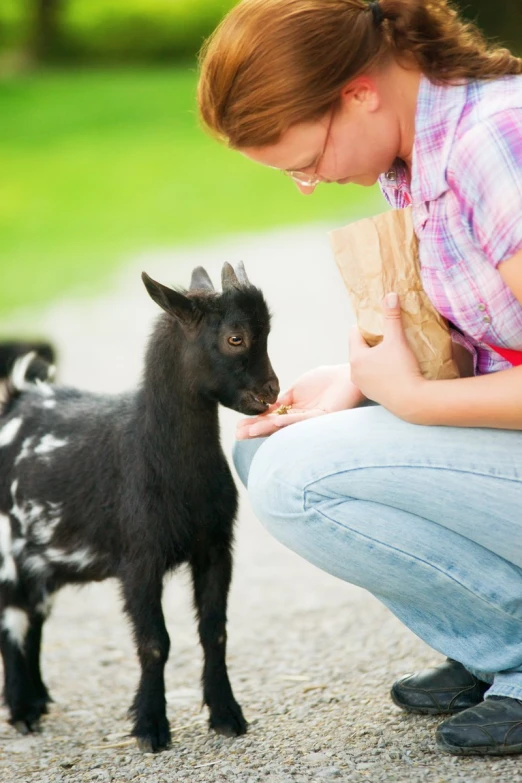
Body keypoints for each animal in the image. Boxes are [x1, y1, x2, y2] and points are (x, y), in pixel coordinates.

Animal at [0, 264, 278, 752]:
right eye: (236, 337)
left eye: (269, 331)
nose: (271, 391)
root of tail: (15, 399)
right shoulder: (139, 558)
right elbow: (154, 642)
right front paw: (150, 727)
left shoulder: (215, 548)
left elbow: (214, 631)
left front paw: (227, 715)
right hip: (6, 546)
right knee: (12, 618)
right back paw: (22, 710)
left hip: (41, 557)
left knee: (33, 616)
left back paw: (39, 699)